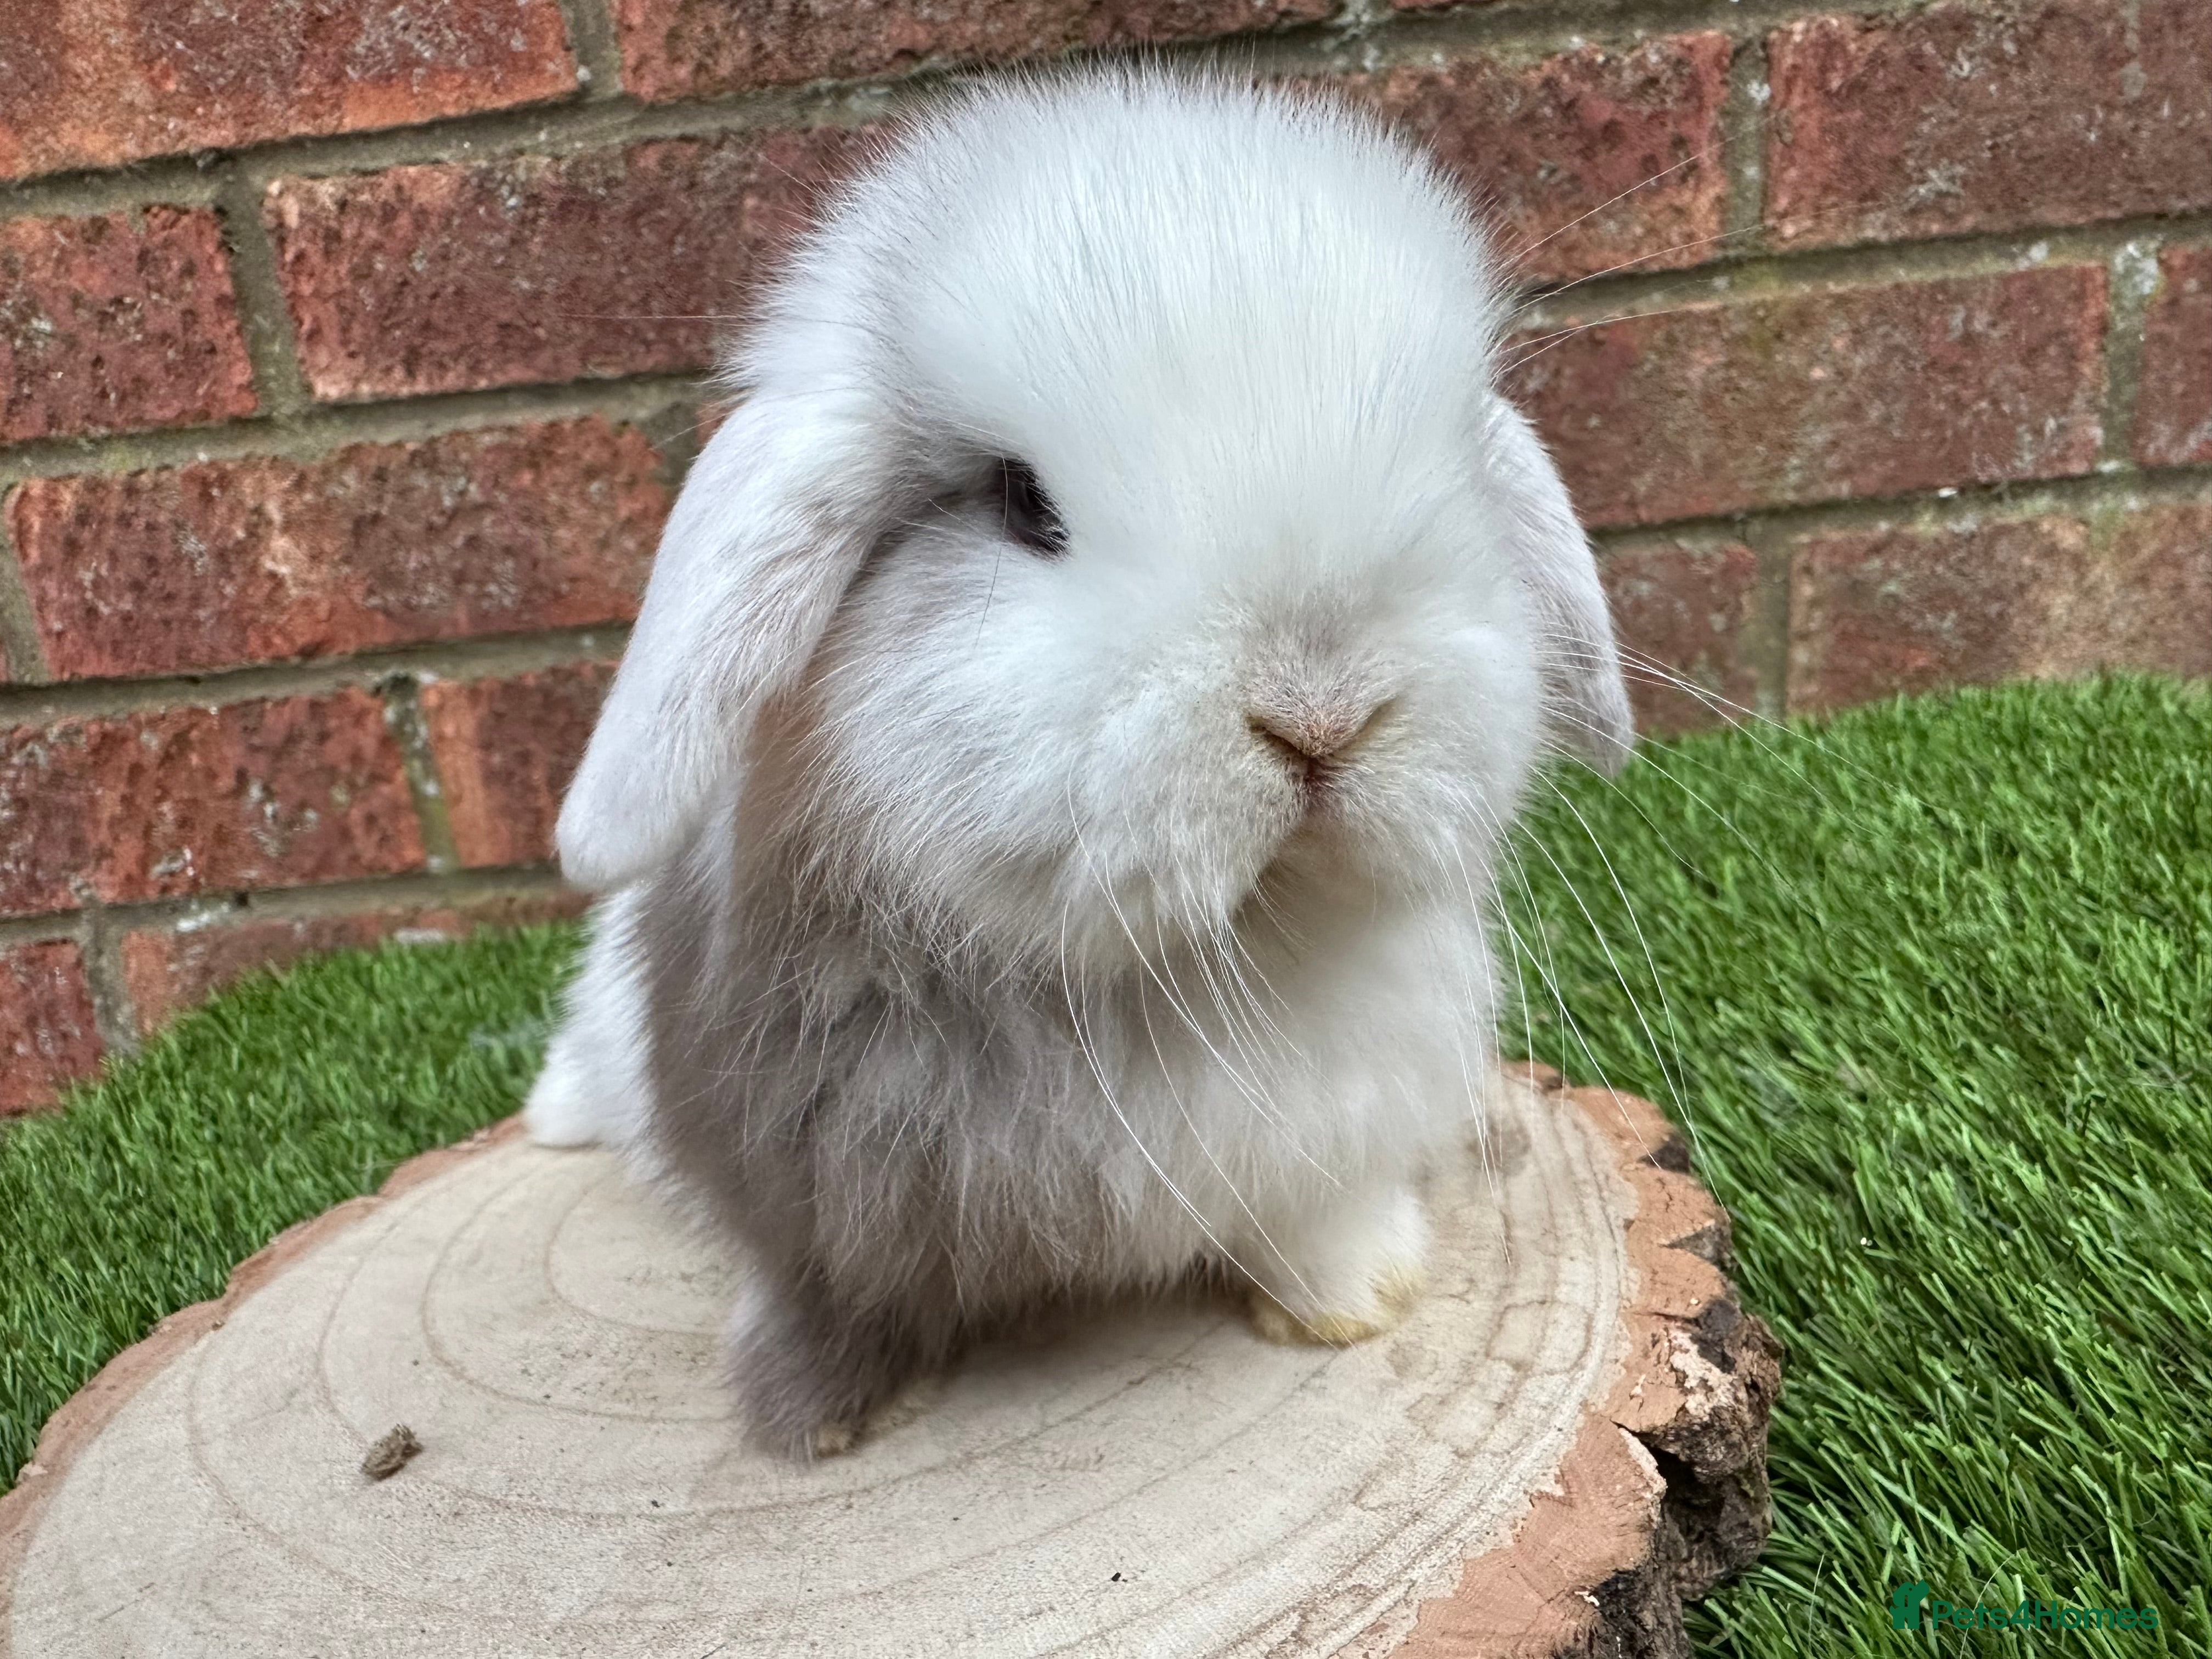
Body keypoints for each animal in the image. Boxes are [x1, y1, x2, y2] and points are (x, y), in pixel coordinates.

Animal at [523, 65, 1633, 1460]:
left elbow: (1320, 1216)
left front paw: (1353, 1303)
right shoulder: (796, 1159)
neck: (1195, 974)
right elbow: (824, 1292)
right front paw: (809, 1421)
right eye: (1020, 502)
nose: (1321, 711)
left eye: (1456, 468)